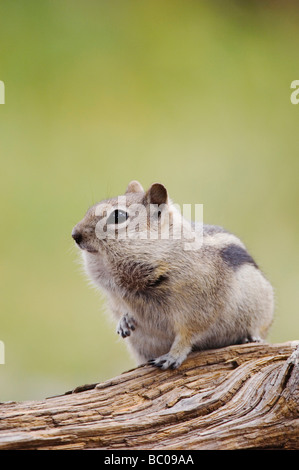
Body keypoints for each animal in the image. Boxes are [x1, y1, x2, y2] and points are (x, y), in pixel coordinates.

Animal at [72, 182, 274, 370]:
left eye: (118, 216)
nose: (75, 234)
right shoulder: (115, 296)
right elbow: (120, 308)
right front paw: (124, 320)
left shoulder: (200, 306)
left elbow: (188, 334)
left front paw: (173, 356)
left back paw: (251, 337)